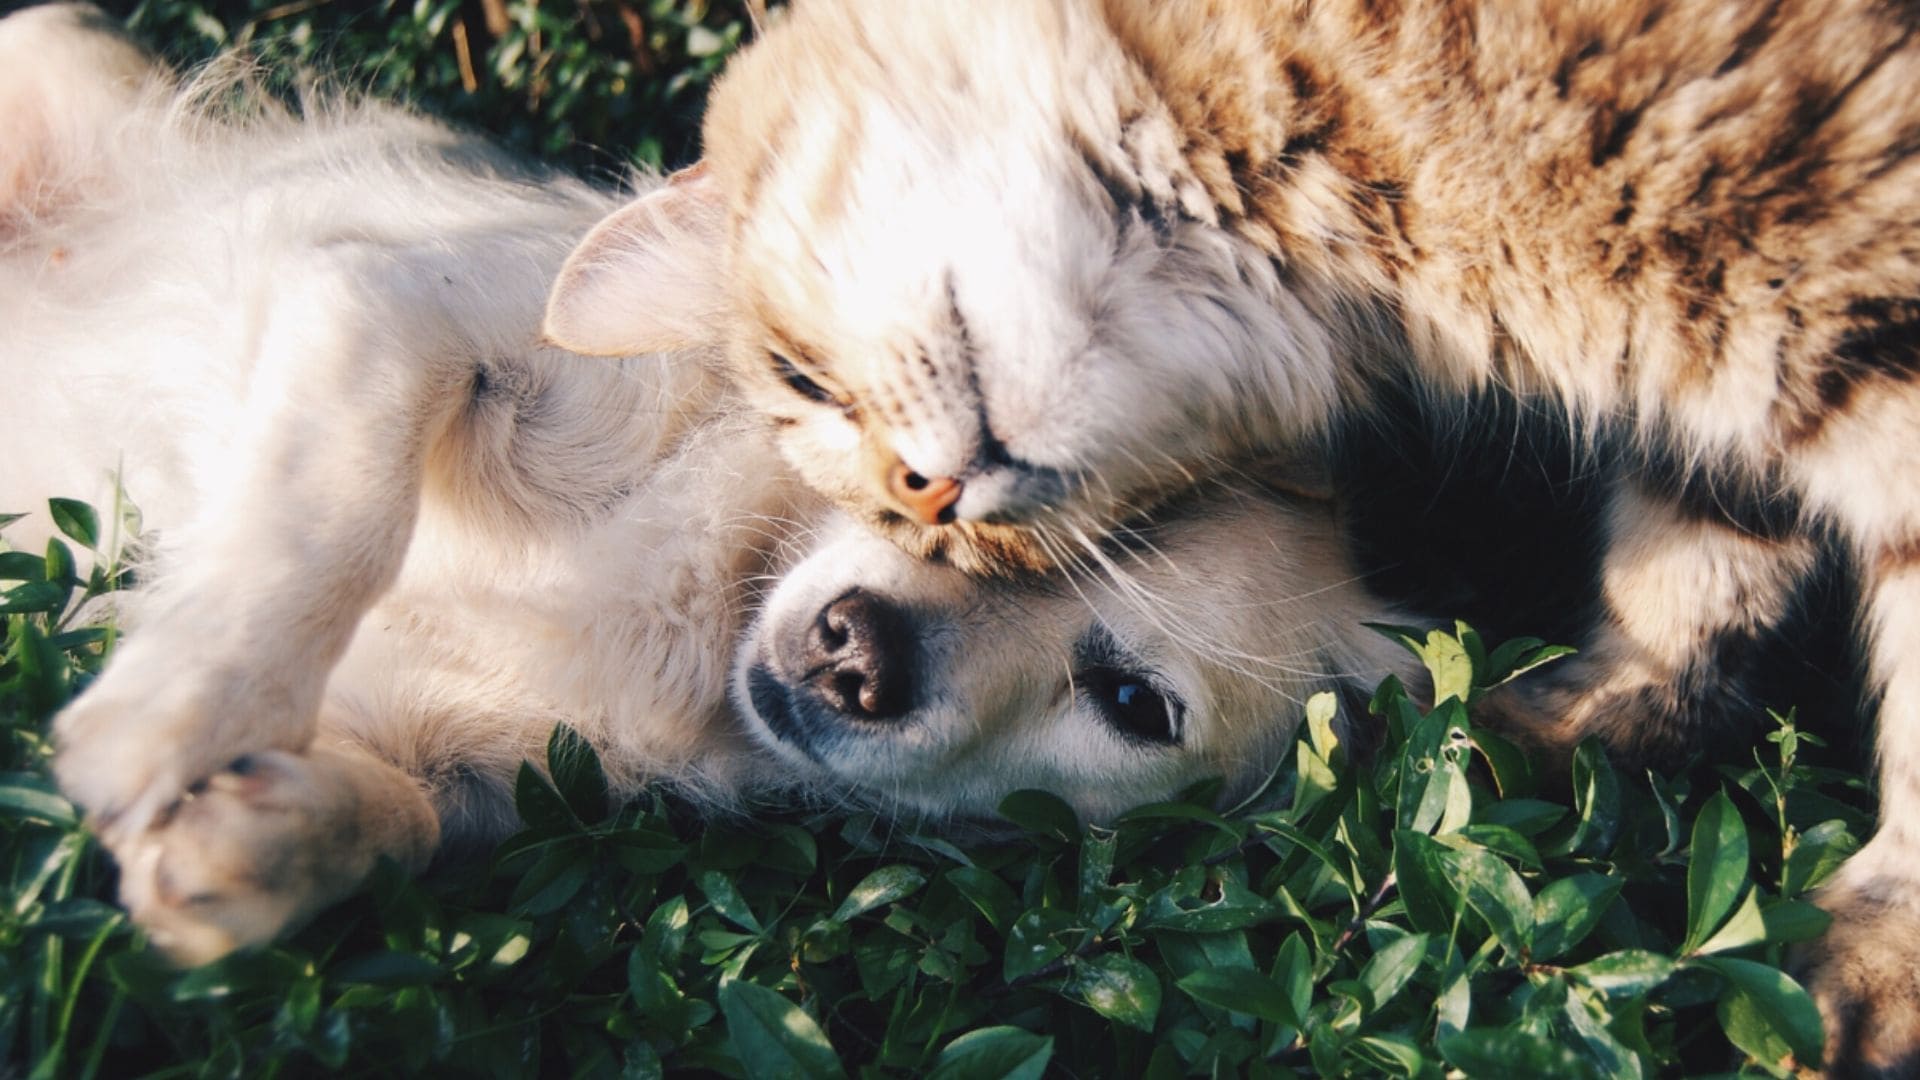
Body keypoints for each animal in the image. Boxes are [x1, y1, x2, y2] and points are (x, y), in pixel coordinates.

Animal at [0, 4, 1413, 960]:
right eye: (925, 494)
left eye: (1132, 704)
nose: (856, 654)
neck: (711, 599)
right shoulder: (393, 305)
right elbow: (330, 517)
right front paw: (174, 712)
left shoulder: (476, 771)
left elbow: (400, 822)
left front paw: (253, 845)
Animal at [537, 2, 1920, 1068]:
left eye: (800, 381)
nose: (926, 504)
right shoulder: (1719, 405)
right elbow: (1694, 557)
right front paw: (1573, 727)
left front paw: (1882, 968)